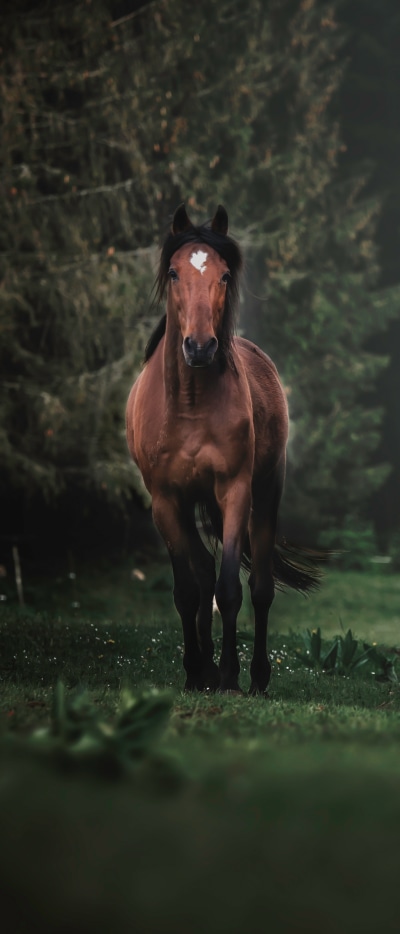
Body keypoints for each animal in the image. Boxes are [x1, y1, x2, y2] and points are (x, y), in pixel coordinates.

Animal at [126, 203, 320, 694]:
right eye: (174, 272)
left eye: (225, 274)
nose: (199, 346)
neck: (191, 404)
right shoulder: (166, 501)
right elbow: (188, 589)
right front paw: (197, 671)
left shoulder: (234, 492)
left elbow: (231, 589)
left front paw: (230, 676)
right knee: (201, 570)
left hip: (266, 493)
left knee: (260, 587)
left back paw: (256, 678)